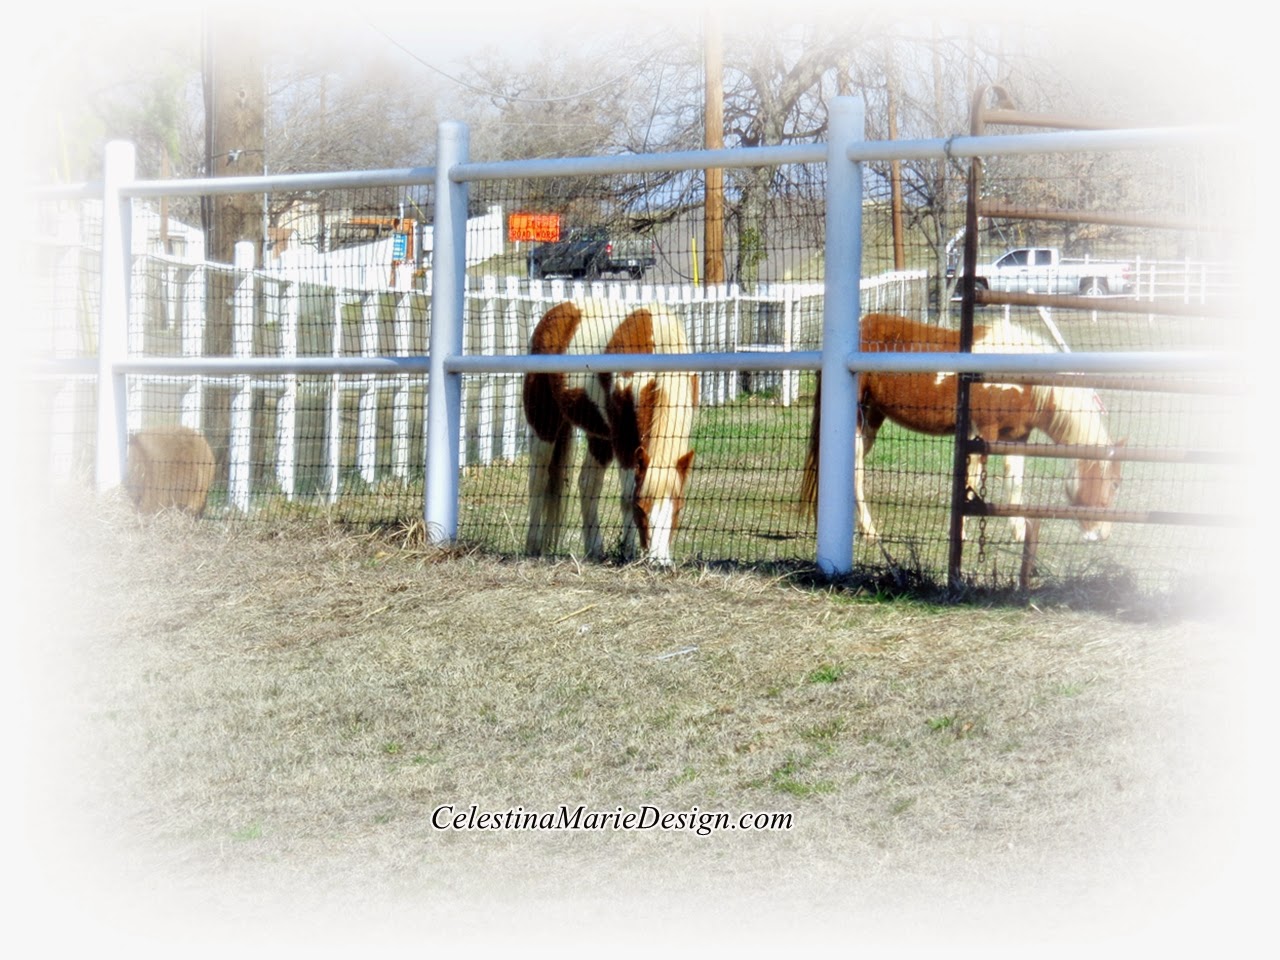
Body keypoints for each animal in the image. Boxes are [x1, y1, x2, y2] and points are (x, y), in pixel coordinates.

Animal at [523, 300, 698, 564]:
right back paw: (532, 546)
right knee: (538, 480)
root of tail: (555, 313)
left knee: (587, 484)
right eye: (641, 507)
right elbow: (626, 497)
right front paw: (628, 551)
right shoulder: (624, 439)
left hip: (599, 437)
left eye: (678, 508)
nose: (659, 560)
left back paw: (594, 549)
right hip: (545, 426)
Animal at [800, 313, 1124, 543]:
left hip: (872, 419)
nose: (1101, 535)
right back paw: (869, 532)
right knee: (854, 472)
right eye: (1116, 484)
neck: (1023, 377)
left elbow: (1014, 482)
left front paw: (1020, 533)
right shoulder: (982, 432)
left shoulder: (1017, 437)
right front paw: (961, 533)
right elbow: (971, 482)